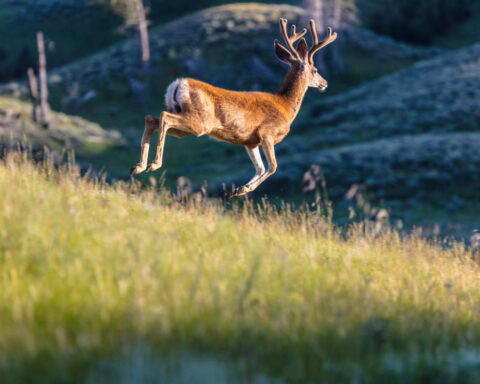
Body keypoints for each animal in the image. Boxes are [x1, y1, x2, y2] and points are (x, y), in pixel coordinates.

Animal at [130, 18, 338, 196]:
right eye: (315, 70)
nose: (325, 83)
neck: (284, 106)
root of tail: (178, 84)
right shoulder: (267, 132)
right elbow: (273, 166)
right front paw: (244, 189)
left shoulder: (250, 141)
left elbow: (260, 167)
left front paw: (239, 189)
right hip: (199, 121)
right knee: (163, 117)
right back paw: (153, 164)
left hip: (185, 125)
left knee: (152, 119)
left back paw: (138, 166)